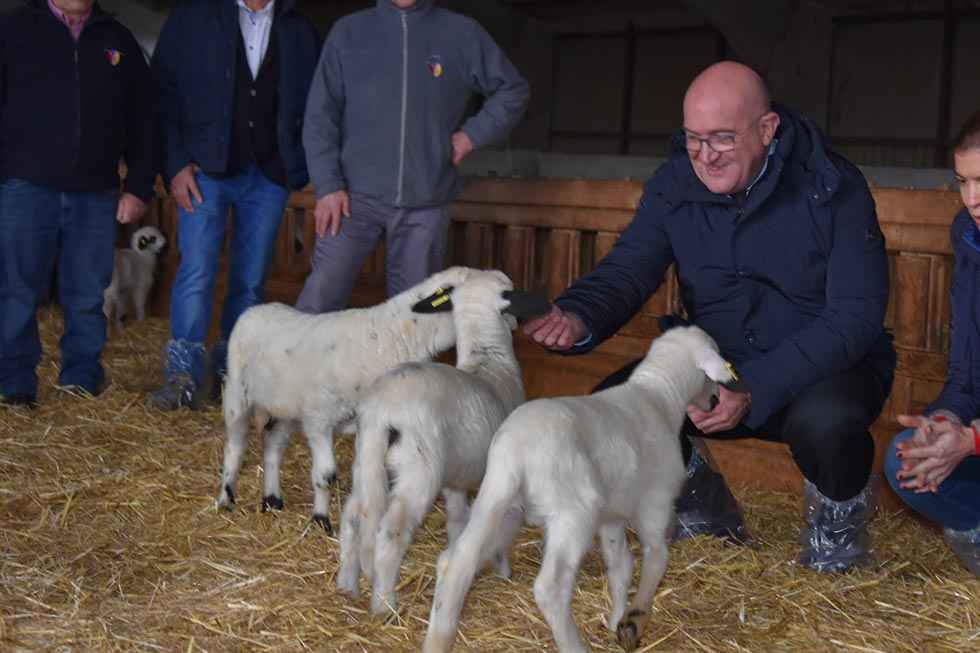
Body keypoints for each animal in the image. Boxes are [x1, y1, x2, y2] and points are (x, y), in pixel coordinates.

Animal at [217, 266, 478, 536]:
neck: (389, 338)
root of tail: (254, 310)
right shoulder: (318, 420)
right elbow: (326, 475)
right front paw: (321, 521)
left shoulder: (367, 421)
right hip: (237, 394)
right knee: (235, 446)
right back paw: (226, 499)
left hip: (284, 406)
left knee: (273, 443)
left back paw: (272, 500)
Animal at [340, 268, 532, 616]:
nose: (516, 324)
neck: (490, 360)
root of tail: (382, 410)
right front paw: (502, 570)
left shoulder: (456, 480)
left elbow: (457, 519)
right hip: (418, 472)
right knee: (390, 532)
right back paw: (385, 605)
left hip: (368, 463)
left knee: (354, 515)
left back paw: (347, 585)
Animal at [422, 326, 736, 652]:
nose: (716, 401)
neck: (659, 396)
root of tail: (515, 450)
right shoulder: (656, 503)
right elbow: (657, 557)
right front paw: (634, 619)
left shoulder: (612, 516)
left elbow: (621, 566)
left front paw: (616, 619)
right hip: (573, 513)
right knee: (550, 588)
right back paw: (573, 644)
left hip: (499, 503)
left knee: (455, 561)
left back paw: (437, 636)